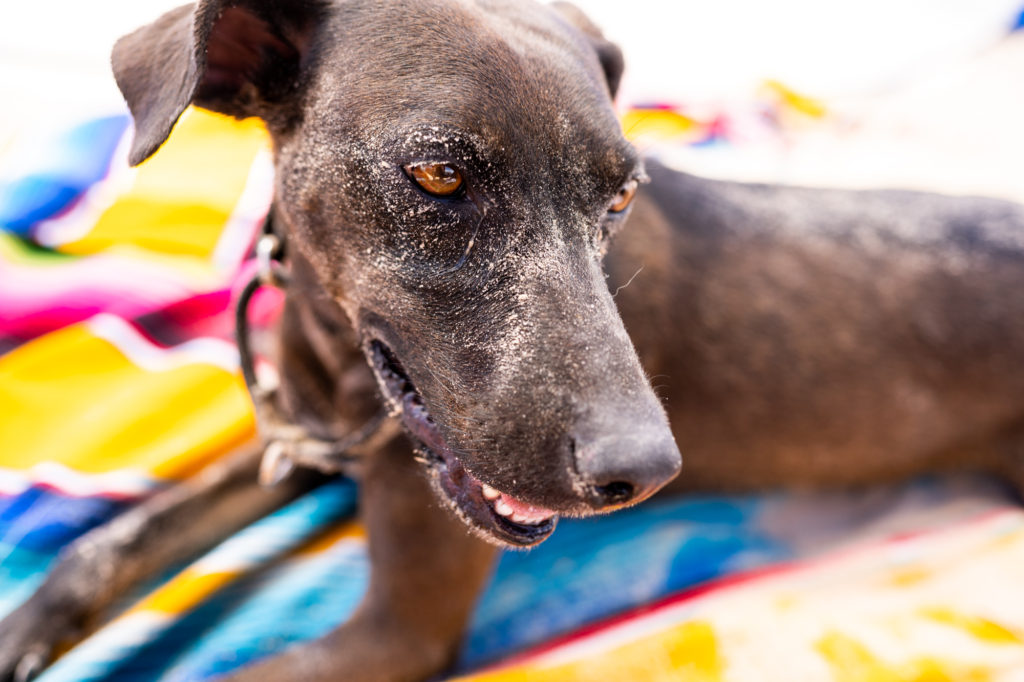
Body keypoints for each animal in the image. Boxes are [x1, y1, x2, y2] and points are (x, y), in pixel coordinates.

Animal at [0, 1, 1019, 679]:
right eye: (439, 176)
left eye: (621, 195)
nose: (645, 471)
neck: (339, 355)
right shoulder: (298, 440)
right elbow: (108, 545)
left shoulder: (395, 633)